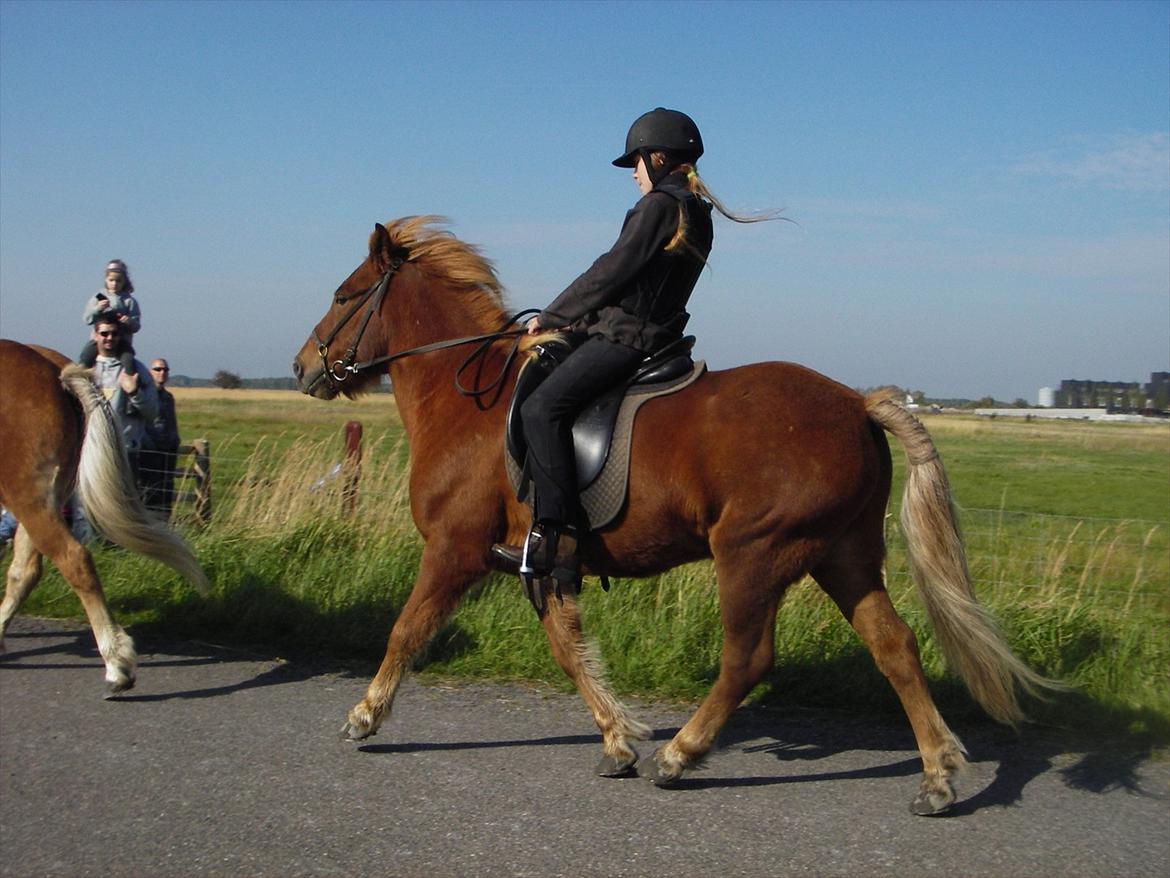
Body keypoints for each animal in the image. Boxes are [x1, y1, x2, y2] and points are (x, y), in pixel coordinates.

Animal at [0, 341, 208, 693]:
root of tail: (55, 372)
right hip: (43, 498)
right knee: (24, 572)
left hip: (30, 497)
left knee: (73, 560)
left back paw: (117, 666)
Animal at [290, 218, 1053, 819]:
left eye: (344, 295)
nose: (302, 368)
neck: (469, 407)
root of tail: (856, 403)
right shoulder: (545, 561)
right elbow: (569, 649)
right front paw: (617, 737)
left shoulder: (456, 549)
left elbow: (405, 629)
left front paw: (364, 716)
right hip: (843, 553)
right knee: (895, 647)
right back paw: (938, 776)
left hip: (755, 552)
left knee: (748, 658)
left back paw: (683, 755)